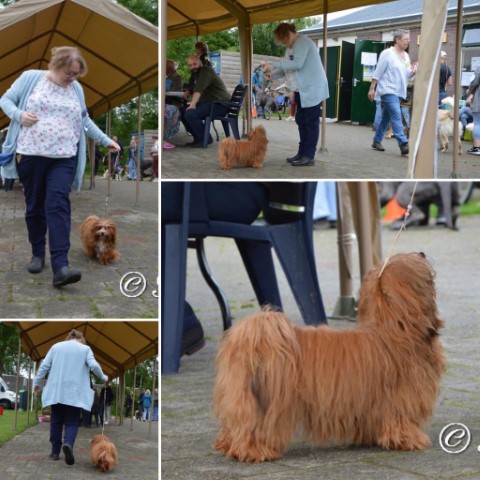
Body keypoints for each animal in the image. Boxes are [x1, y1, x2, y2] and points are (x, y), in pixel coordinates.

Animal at [214, 253, 446, 464]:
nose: (422, 253)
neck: (392, 328)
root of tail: (253, 340)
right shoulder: (401, 397)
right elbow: (400, 419)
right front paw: (409, 440)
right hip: (270, 400)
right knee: (256, 427)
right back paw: (255, 451)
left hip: (240, 394)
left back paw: (228, 446)